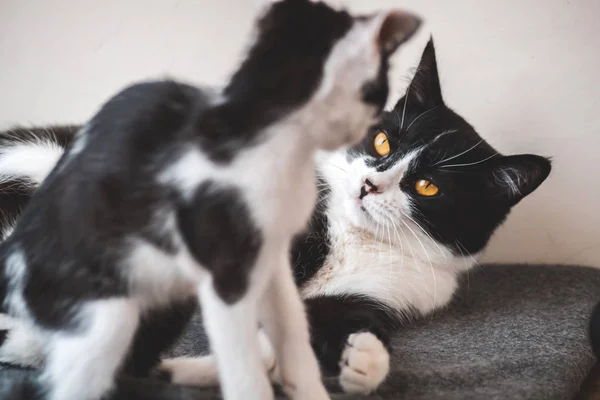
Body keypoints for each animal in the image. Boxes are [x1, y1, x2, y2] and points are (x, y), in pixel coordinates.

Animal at [0, 38, 552, 396]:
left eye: (428, 186)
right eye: (382, 142)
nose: (369, 185)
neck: (354, 235)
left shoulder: (396, 288)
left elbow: (328, 322)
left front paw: (363, 358)